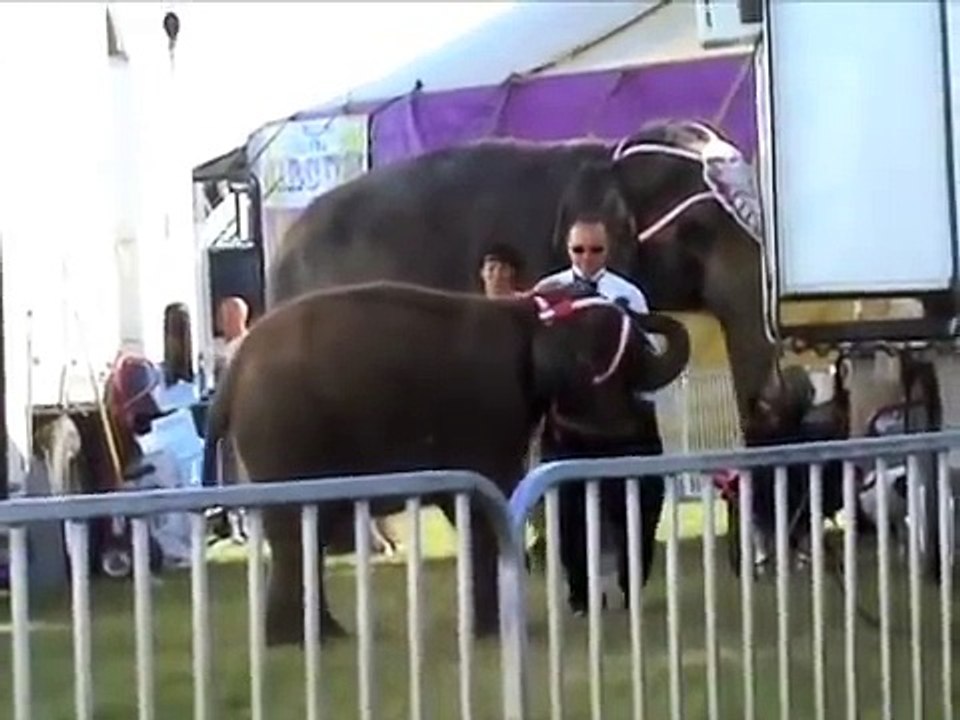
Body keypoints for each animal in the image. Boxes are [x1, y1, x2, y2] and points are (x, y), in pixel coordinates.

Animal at [202, 280, 691, 644]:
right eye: (627, 354)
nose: (632, 304)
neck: (526, 314)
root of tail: (232, 375)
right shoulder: (488, 411)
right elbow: (487, 504)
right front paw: (492, 634)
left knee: (307, 531)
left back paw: (320, 637)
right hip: (285, 434)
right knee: (296, 532)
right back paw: (299, 641)